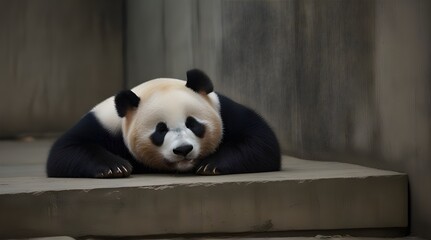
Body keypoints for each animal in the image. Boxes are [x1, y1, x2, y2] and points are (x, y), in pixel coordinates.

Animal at [47, 68, 282, 177]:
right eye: (160, 130)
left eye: (192, 123)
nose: (184, 150)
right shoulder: (104, 123)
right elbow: (67, 149)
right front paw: (114, 167)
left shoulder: (224, 112)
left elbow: (260, 140)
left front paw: (211, 164)